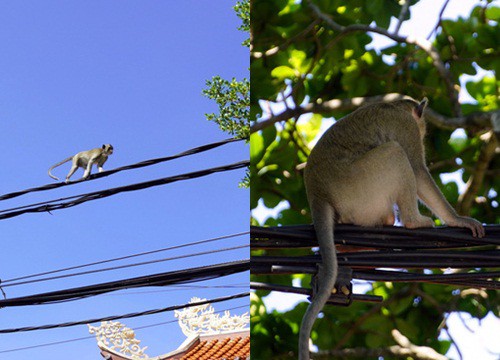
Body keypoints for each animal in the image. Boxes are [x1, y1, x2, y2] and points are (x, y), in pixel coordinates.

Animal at [296, 97, 484, 360]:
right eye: (422, 127)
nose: (424, 131)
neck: (397, 105)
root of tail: (317, 195)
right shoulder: (406, 126)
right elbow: (418, 170)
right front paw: (458, 219)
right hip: (360, 185)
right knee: (395, 153)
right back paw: (413, 221)